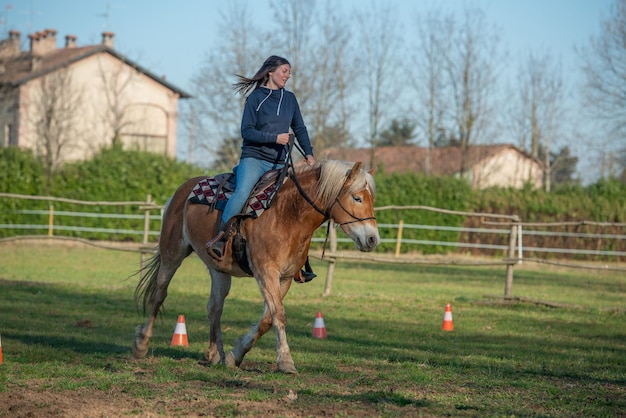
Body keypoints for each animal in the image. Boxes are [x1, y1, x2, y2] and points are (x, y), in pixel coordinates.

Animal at [132, 159, 378, 372]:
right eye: (357, 198)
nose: (373, 239)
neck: (286, 215)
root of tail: (183, 190)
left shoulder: (284, 278)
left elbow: (268, 319)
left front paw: (235, 355)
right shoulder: (266, 273)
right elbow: (278, 315)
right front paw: (286, 361)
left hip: (219, 270)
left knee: (214, 308)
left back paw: (214, 354)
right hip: (172, 254)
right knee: (159, 294)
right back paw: (141, 344)